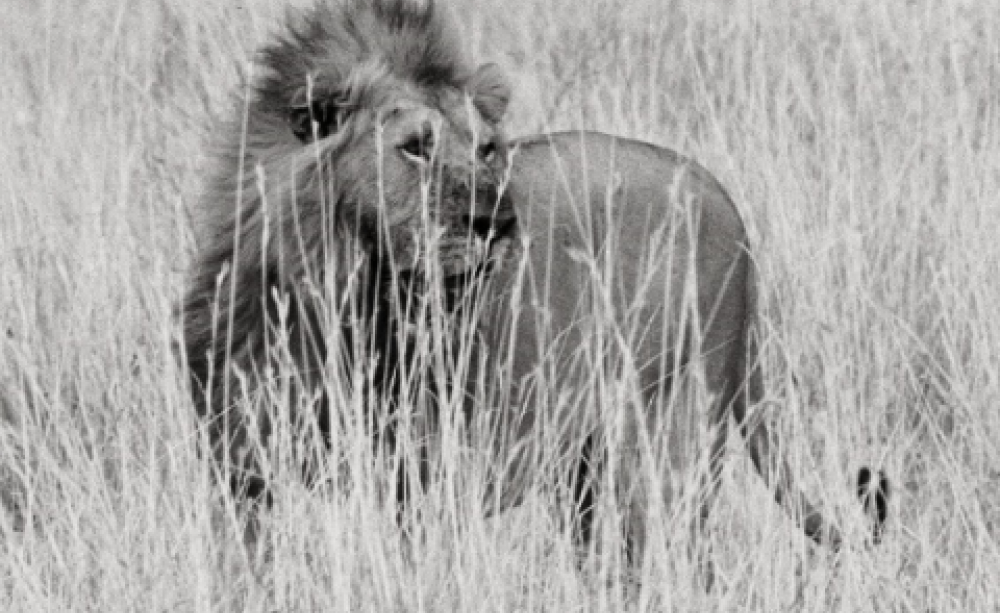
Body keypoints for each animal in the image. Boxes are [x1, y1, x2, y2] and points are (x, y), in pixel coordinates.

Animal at [181, 0, 888, 569]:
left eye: (486, 149)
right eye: (414, 145)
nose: (496, 221)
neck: (339, 292)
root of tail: (727, 206)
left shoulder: (427, 478)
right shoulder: (241, 474)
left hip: (667, 426)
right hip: (585, 465)